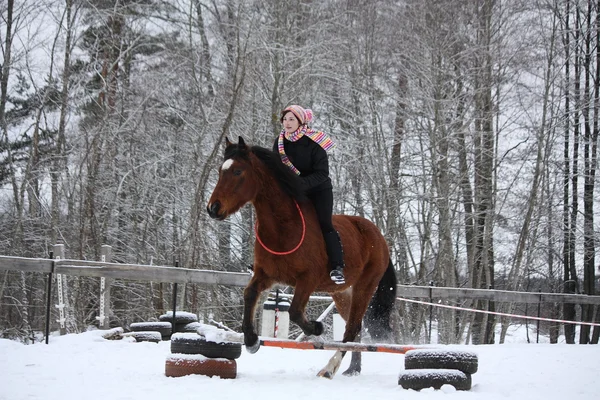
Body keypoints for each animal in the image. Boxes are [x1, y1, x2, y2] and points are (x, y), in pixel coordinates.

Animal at [207, 138, 398, 378]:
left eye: (238, 171)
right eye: (220, 171)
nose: (213, 208)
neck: (283, 227)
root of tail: (379, 237)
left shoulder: (308, 279)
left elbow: (296, 311)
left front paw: (317, 328)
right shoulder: (266, 275)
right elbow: (250, 294)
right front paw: (251, 340)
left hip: (365, 286)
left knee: (352, 327)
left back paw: (329, 369)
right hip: (342, 292)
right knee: (356, 328)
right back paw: (352, 369)